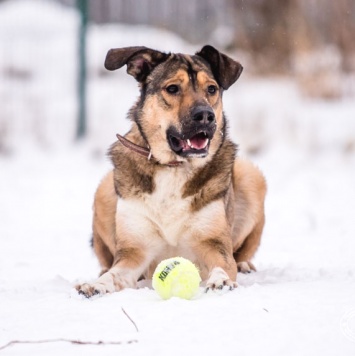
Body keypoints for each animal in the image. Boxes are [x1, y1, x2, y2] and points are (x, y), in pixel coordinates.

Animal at [77, 43, 268, 298]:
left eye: (212, 89)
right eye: (172, 88)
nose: (205, 115)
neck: (174, 167)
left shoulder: (214, 244)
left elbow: (223, 263)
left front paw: (221, 280)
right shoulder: (134, 250)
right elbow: (115, 272)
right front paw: (97, 284)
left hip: (251, 176)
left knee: (241, 253)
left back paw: (245, 264)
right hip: (104, 190)